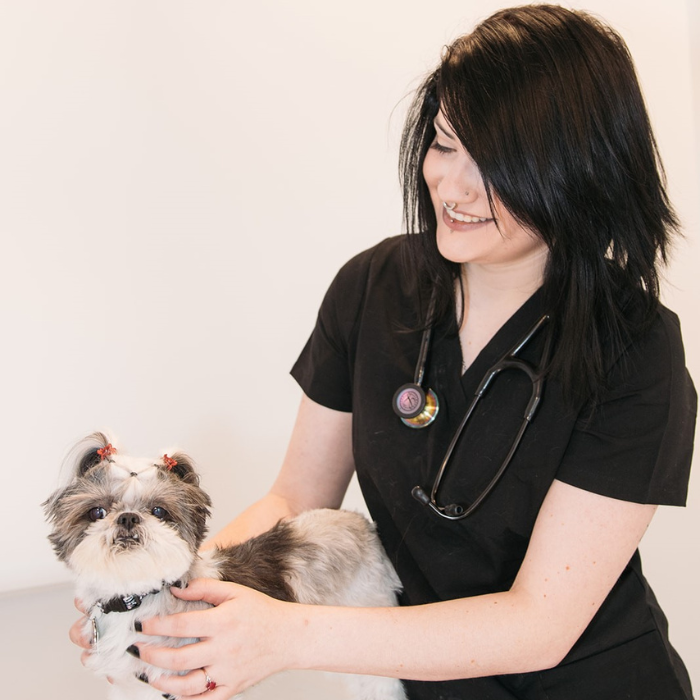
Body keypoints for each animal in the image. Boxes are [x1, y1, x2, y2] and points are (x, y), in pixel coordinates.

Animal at [43, 432, 408, 700]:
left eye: (159, 511)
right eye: (97, 512)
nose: (128, 518)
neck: (137, 599)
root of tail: (363, 525)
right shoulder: (131, 688)